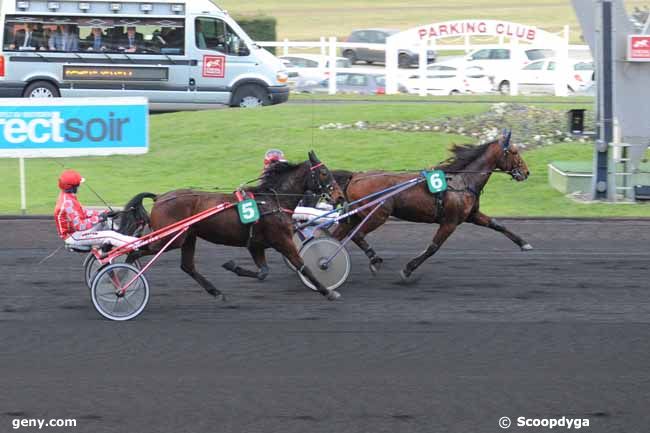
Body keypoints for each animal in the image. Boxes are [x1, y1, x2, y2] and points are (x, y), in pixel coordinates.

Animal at [119, 152, 346, 300]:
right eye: (324, 172)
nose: (339, 196)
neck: (272, 201)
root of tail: (160, 197)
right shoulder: (282, 240)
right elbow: (303, 265)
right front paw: (328, 291)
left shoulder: (255, 244)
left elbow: (263, 272)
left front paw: (232, 266)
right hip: (169, 238)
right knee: (135, 251)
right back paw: (123, 280)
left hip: (187, 237)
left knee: (187, 266)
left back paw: (216, 292)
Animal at [332, 132, 528, 280]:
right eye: (514, 152)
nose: (526, 172)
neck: (463, 180)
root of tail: (356, 176)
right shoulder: (450, 222)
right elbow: (433, 247)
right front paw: (408, 269)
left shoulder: (472, 215)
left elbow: (497, 224)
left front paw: (524, 243)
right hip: (377, 215)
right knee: (358, 235)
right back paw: (374, 260)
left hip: (354, 216)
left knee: (337, 236)